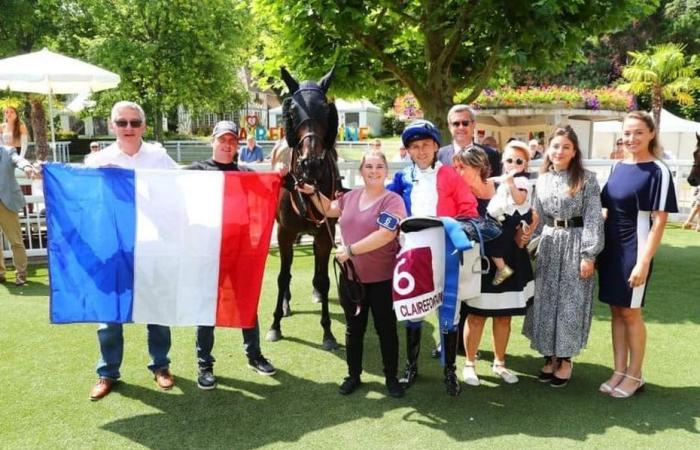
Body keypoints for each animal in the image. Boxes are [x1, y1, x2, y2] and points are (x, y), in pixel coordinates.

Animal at [266, 67, 344, 350]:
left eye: (325, 109)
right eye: (292, 111)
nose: (311, 163)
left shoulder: (324, 234)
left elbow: (323, 277)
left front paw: (328, 332)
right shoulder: (285, 233)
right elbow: (282, 276)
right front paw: (275, 324)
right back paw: (286, 304)